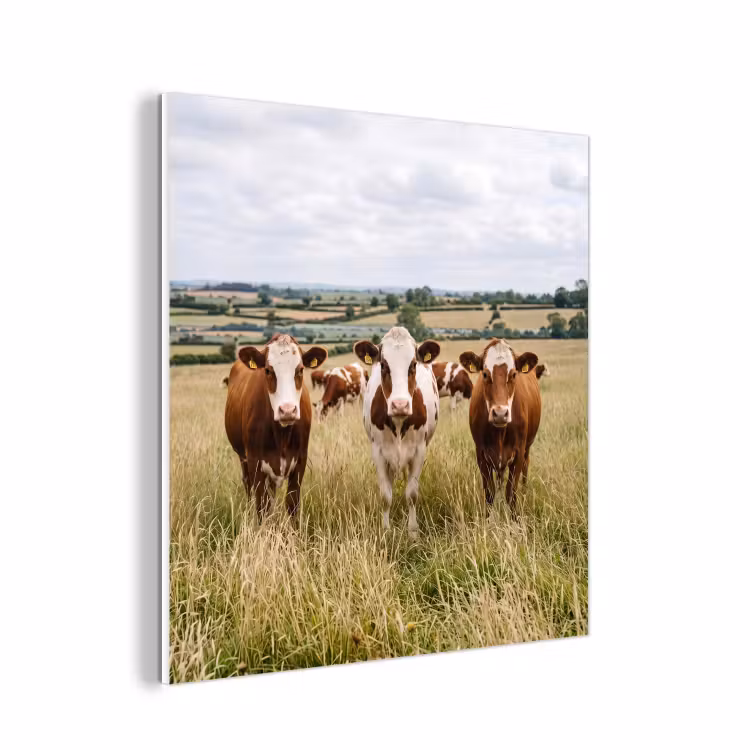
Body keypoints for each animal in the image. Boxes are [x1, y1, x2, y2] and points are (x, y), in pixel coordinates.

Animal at [224, 334, 328, 523]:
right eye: (267, 370)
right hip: (243, 457)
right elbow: (261, 506)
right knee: (248, 486)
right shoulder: (255, 462)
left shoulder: (300, 461)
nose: (287, 410)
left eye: (300, 369)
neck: (282, 435)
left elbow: (292, 504)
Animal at [354, 327, 440, 538]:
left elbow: (412, 494)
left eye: (413, 364)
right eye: (384, 365)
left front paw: (413, 532)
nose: (400, 404)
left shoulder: (419, 451)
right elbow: (386, 495)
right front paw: (386, 530)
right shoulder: (378, 452)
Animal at [459, 338, 541, 519]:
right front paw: (488, 521)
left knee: (526, 468)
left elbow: (511, 492)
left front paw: (514, 520)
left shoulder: (518, 453)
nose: (500, 414)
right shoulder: (481, 454)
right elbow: (489, 493)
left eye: (514, 374)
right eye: (485, 374)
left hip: (527, 448)